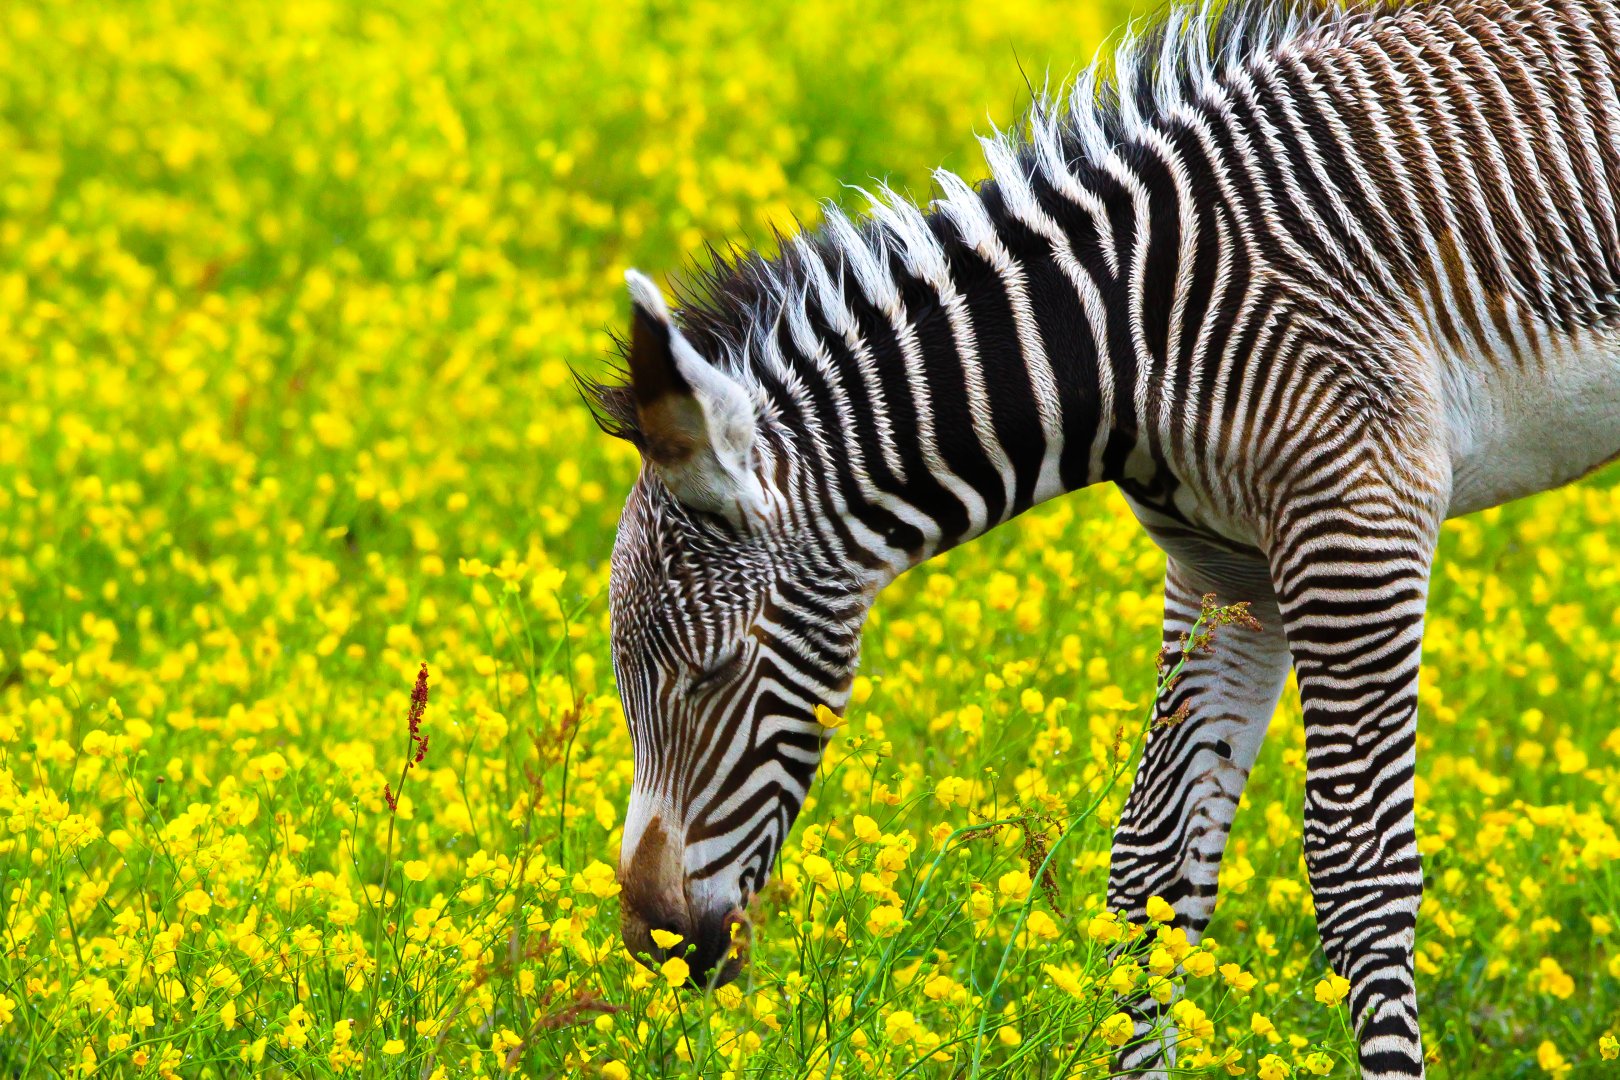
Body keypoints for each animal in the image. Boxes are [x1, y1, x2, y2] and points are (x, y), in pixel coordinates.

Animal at [584, 0, 1620, 1075]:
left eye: (714, 672)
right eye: (622, 678)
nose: (659, 950)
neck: (1137, 335)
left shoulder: (1360, 515)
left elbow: (1359, 872)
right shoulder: (1226, 566)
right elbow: (1153, 871)